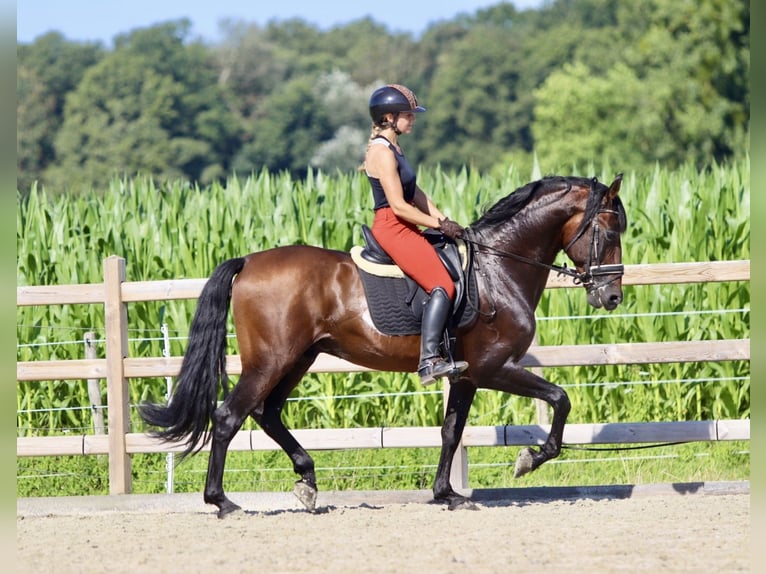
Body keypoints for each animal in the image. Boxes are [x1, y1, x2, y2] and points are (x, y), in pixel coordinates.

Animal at [140, 173, 632, 520]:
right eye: (610, 232)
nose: (611, 298)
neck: (498, 268)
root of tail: (249, 262)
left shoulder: (467, 376)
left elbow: (451, 431)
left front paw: (447, 494)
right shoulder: (494, 368)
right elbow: (561, 398)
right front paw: (529, 459)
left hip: (298, 359)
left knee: (267, 413)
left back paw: (307, 480)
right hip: (272, 360)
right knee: (229, 416)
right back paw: (222, 501)